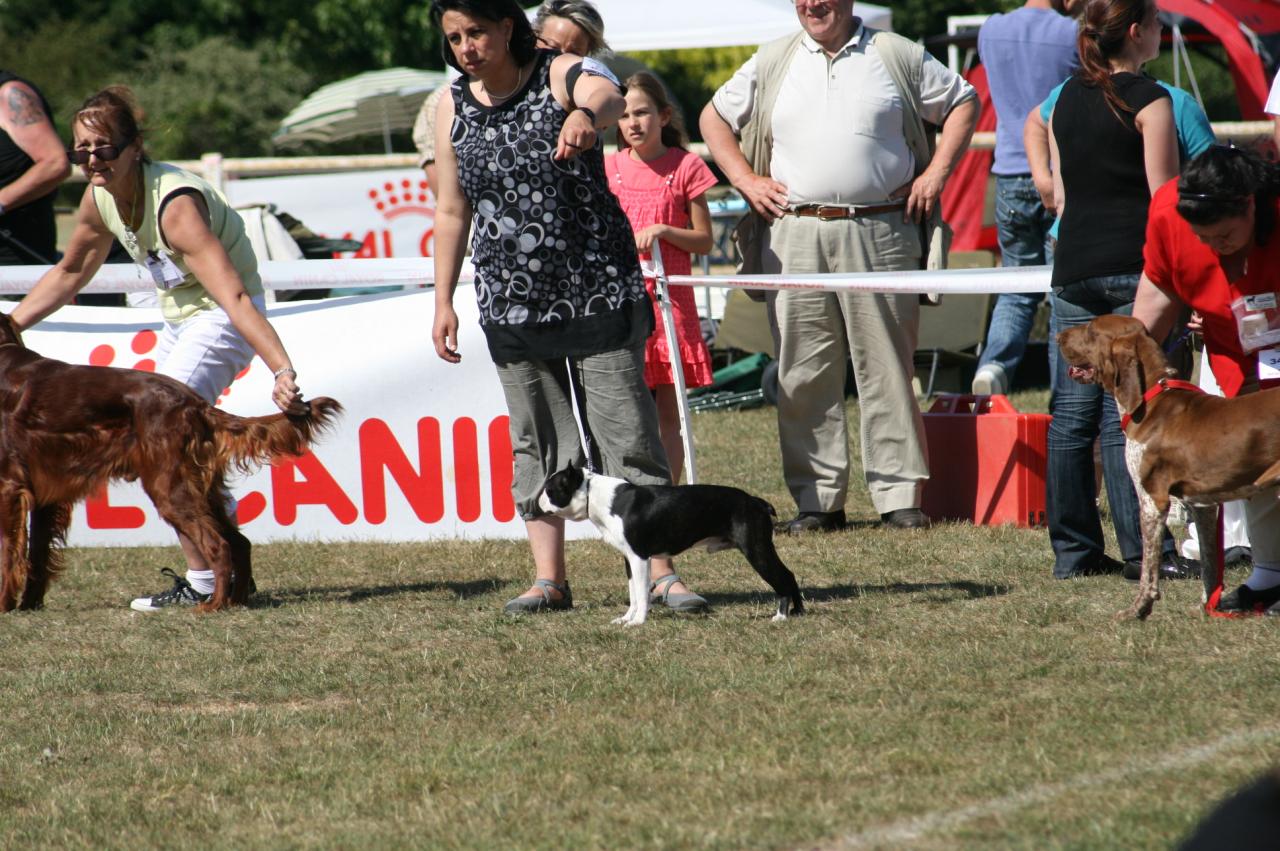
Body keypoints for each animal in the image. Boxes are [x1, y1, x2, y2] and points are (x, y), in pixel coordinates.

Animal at [0, 312, 340, 611]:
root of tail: (195, 403)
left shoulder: (9, 487)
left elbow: (8, 553)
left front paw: (6, 606)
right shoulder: (45, 492)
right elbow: (36, 555)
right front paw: (29, 605)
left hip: (169, 487)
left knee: (219, 545)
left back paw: (214, 605)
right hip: (202, 489)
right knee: (240, 543)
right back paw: (237, 601)